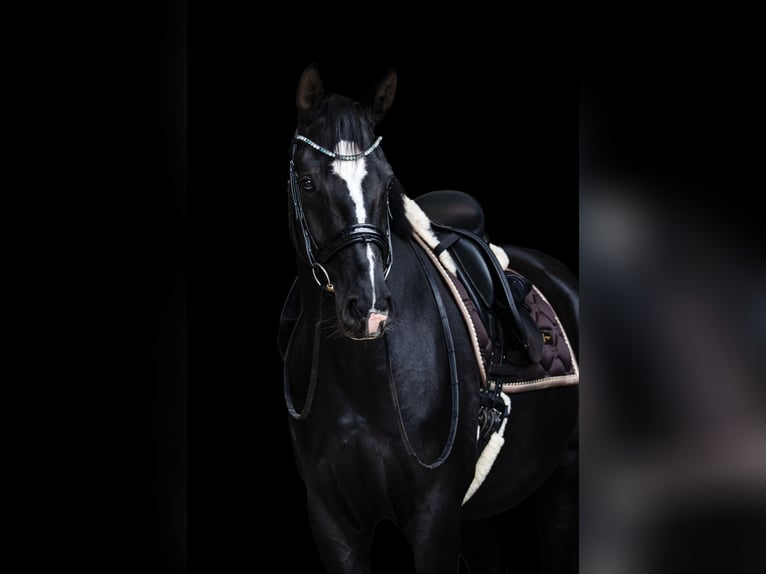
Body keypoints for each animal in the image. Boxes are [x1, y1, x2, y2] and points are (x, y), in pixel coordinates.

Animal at [279, 63, 579, 573]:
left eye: (386, 182)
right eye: (308, 182)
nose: (369, 308)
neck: (364, 379)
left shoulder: (434, 517)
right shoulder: (332, 521)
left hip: (563, 482)